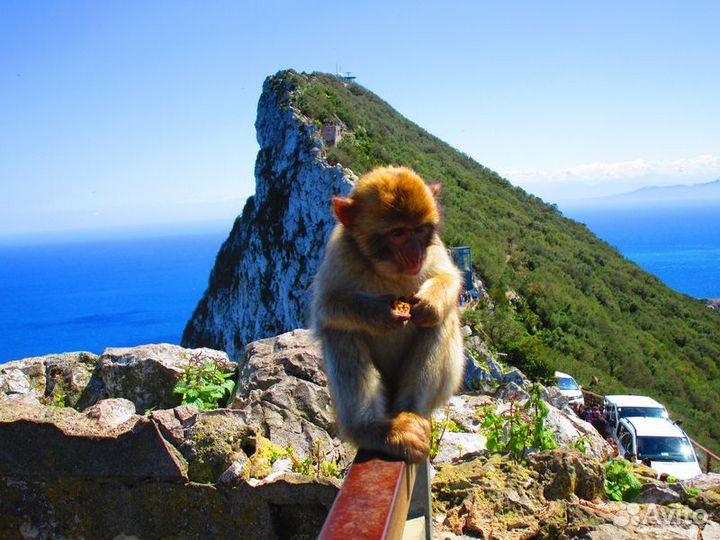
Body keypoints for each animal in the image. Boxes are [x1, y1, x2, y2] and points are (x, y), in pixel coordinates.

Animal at [312, 166, 464, 464]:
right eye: (398, 233)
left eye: (420, 230)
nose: (416, 255)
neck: (388, 272)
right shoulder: (340, 253)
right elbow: (325, 306)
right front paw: (380, 313)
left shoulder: (435, 248)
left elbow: (450, 278)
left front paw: (430, 304)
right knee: (340, 330)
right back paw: (374, 430)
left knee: (440, 322)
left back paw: (411, 411)